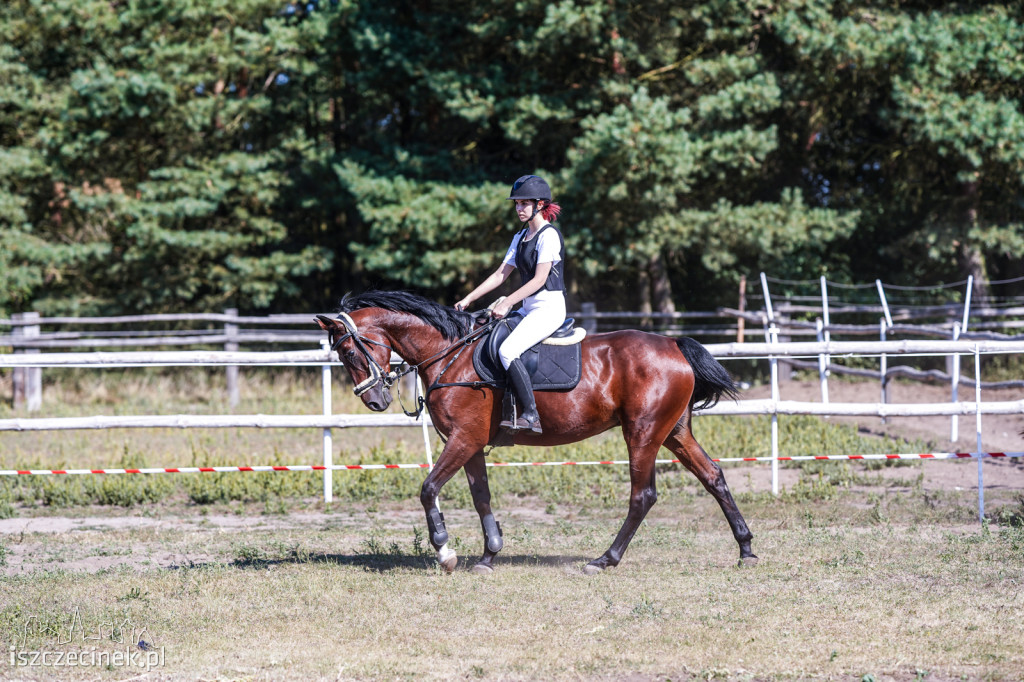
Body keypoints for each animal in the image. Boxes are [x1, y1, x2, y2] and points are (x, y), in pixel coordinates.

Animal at [315, 288, 757, 569]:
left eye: (350, 351)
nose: (374, 401)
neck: (451, 354)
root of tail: (673, 345)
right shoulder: (471, 444)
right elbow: (481, 498)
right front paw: (489, 555)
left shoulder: (463, 439)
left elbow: (427, 489)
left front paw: (445, 553)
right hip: (674, 432)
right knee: (713, 476)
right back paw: (746, 549)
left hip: (643, 434)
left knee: (643, 495)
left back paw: (605, 559)